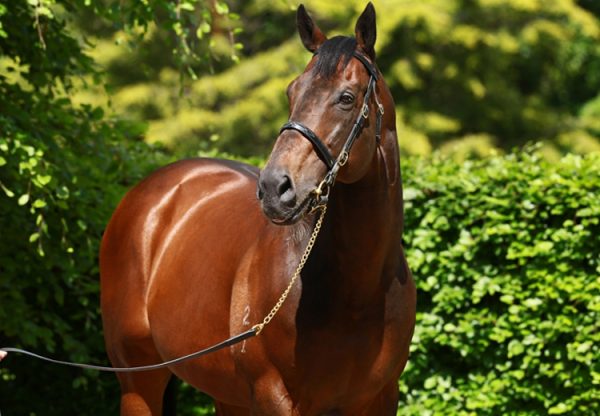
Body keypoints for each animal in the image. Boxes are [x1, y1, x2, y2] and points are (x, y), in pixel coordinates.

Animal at [99, 4, 418, 416]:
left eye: (347, 98)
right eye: (292, 91)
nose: (274, 188)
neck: (357, 291)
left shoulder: (380, 398)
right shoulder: (275, 396)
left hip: (226, 393)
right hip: (139, 381)